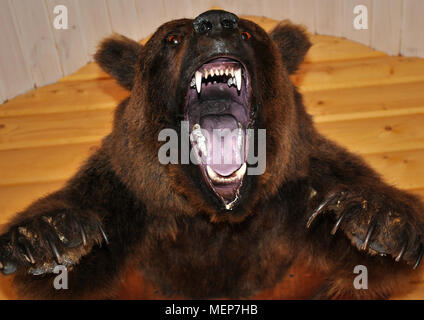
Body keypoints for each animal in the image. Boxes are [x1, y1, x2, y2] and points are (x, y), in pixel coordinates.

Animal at [0, 10, 424, 300]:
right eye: (172, 37)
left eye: (250, 32)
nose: (217, 22)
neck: (217, 217)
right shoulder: (131, 204)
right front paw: (48, 237)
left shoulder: (296, 198)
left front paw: (376, 220)